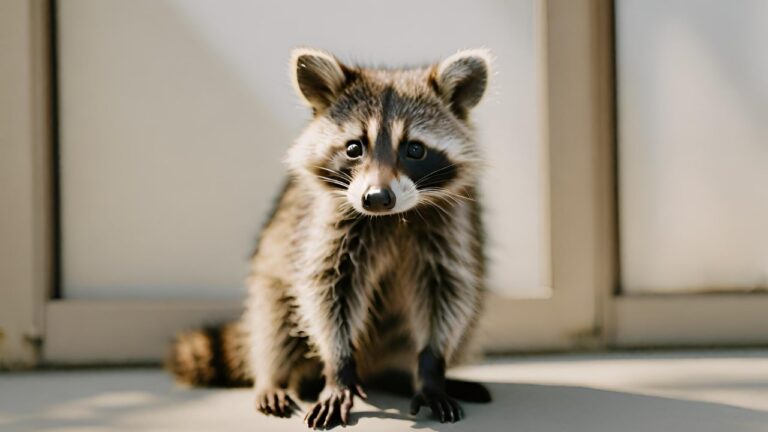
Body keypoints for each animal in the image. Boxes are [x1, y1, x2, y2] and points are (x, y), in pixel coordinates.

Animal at [168, 47, 492, 428]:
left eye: (414, 149)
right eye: (354, 148)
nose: (376, 198)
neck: (390, 219)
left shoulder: (451, 226)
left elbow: (446, 291)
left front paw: (431, 370)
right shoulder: (328, 223)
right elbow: (326, 291)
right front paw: (338, 367)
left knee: (471, 307)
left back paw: (403, 375)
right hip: (272, 266)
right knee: (273, 316)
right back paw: (274, 377)